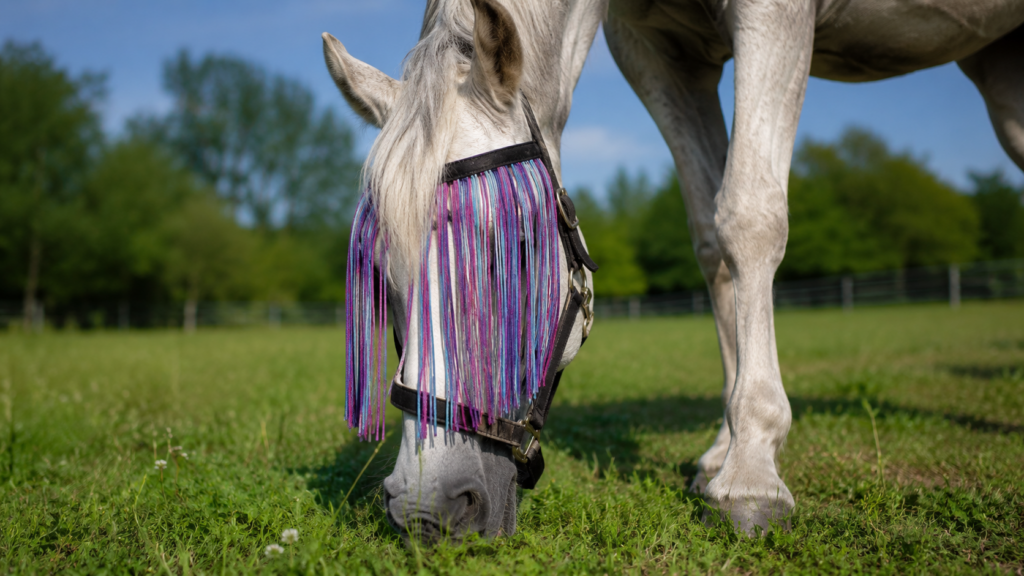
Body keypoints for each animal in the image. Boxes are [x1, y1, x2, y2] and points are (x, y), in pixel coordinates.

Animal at [323, 0, 1024, 542]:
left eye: (518, 246)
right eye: (382, 279)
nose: (426, 508)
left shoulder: (778, 14)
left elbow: (748, 215)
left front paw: (752, 475)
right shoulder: (660, 52)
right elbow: (712, 239)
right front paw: (726, 450)